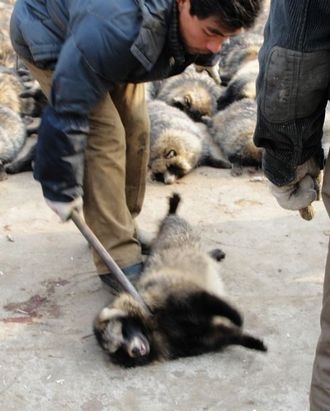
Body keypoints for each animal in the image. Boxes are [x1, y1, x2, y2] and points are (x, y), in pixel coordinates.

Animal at [92, 195, 266, 368]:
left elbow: (206, 301)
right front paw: (250, 341)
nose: (134, 351)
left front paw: (235, 316)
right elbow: (220, 336)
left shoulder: (168, 296)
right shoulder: (184, 340)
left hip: (181, 232)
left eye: (123, 332)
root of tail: (169, 221)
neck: (153, 330)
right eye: (120, 349)